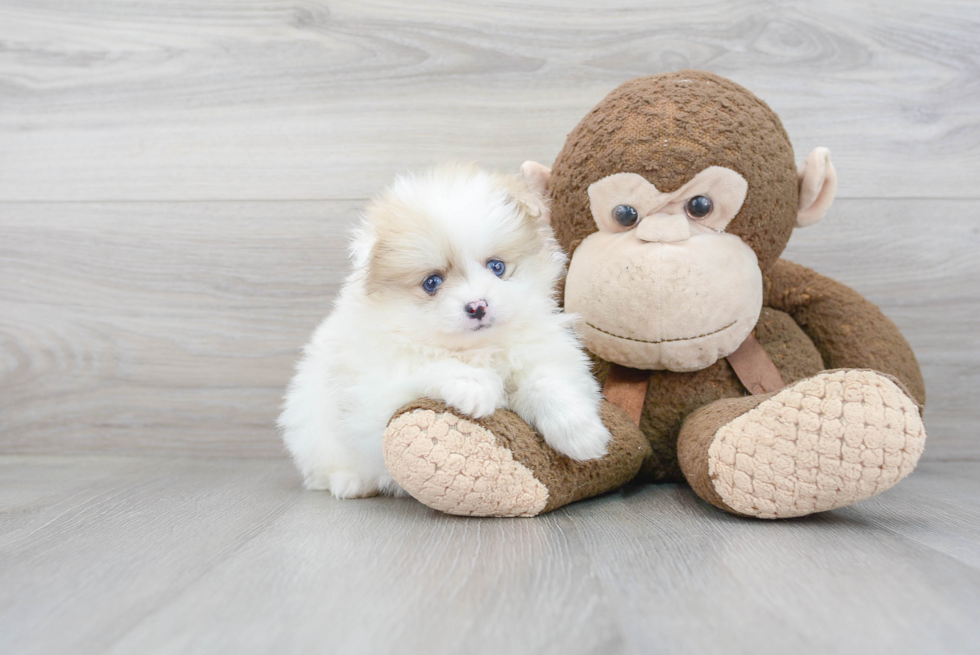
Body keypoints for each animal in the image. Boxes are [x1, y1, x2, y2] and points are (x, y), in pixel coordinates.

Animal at [280, 163, 608, 498]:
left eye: (497, 267)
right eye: (432, 283)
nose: (478, 306)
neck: (476, 348)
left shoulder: (544, 352)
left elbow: (547, 381)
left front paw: (580, 432)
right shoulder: (375, 391)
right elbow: (427, 366)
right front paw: (475, 386)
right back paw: (350, 482)